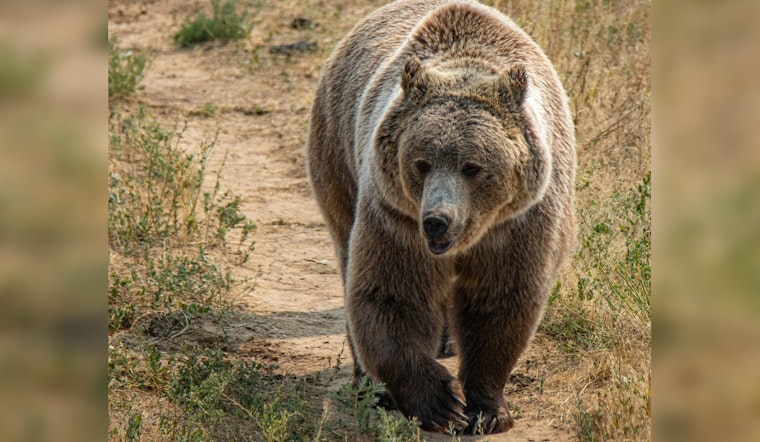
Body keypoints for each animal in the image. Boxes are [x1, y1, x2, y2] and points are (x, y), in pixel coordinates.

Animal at [306, 0, 575, 434]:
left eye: (473, 167)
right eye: (422, 162)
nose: (437, 220)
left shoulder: (521, 222)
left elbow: (500, 301)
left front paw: (487, 409)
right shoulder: (395, 216)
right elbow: (391, 294)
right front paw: (440, 403)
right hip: (338, 154)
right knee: (347, 255)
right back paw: (370, 385)